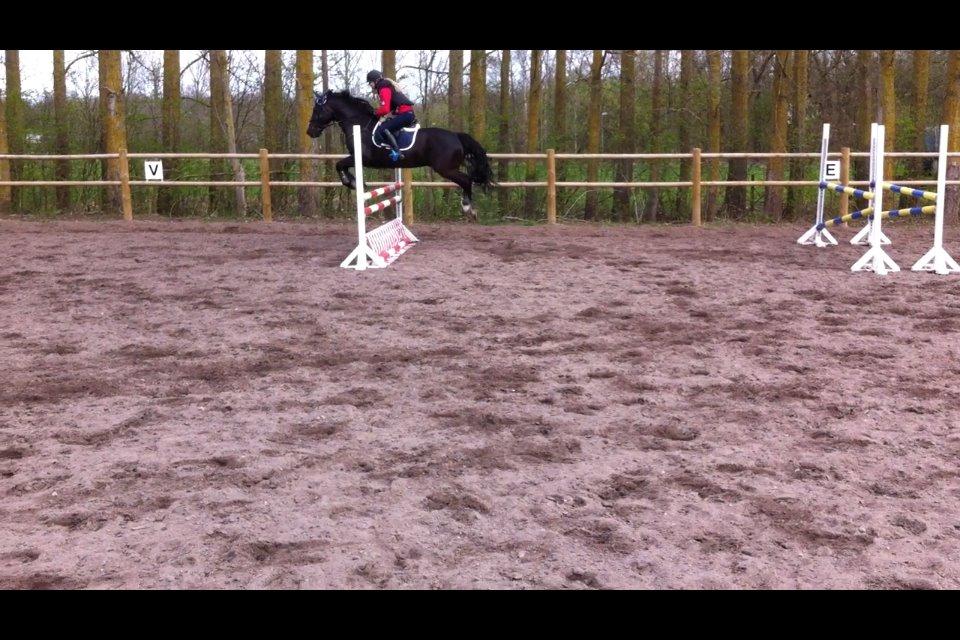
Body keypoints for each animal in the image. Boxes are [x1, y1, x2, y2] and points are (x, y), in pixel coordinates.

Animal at [306, 89, 495, 221]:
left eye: (316, 110)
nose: (310, 132)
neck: (358, 123)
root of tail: (456, 135)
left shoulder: (363, 158)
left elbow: (339, 164)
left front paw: (351, 182)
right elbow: (340, 165)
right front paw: (353, 182)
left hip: (445, 169)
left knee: (466, 180)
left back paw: (468, 208)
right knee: (467, 180)